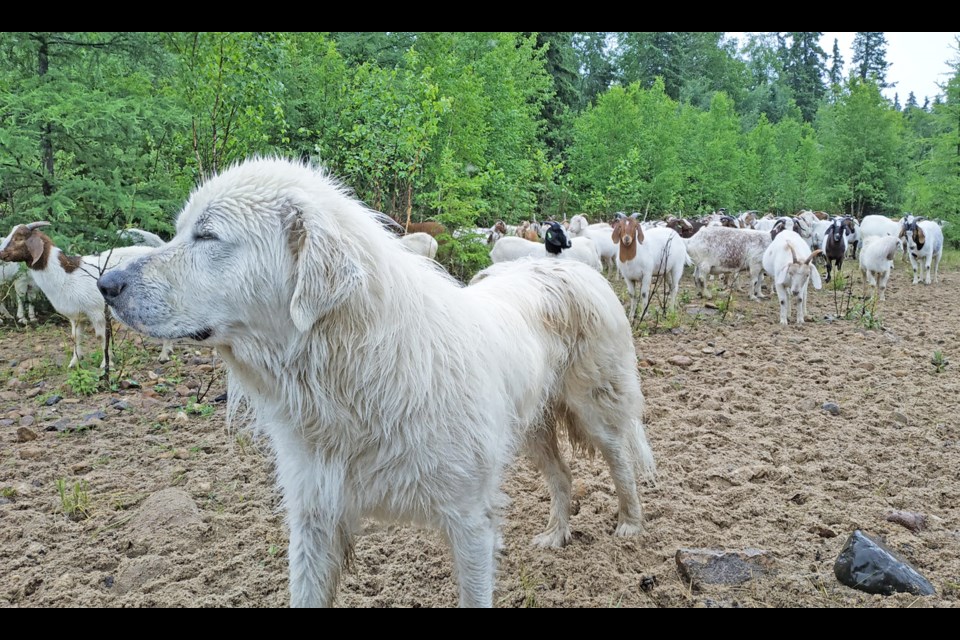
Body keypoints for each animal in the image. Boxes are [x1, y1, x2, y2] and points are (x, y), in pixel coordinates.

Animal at [1, 222, 173, 368]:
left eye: (19, 238)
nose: (1, 253)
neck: (66, 276)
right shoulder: (76, 316)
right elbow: (75, 337)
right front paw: (74, 362)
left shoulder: (96, 312)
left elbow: (101, 337)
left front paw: (106, 364)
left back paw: (164, 355)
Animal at [97, 158, 656, 608]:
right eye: (179, 232)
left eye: (208, 236)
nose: (106, 284)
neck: (352, 376)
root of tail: (570, 267)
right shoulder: (315, 519)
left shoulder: (470, 522)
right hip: (531, 427)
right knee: (563, 477)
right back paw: (556, 535)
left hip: (596, 408)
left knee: (621, 460)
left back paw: (630, 524)